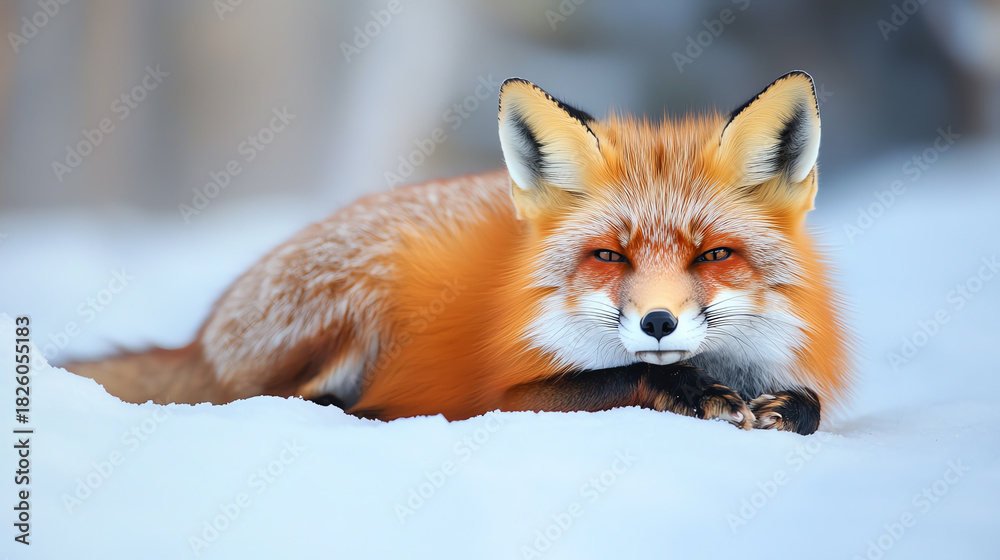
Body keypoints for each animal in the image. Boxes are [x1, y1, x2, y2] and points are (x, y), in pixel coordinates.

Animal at [67, 71, 852, 435]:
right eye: (608, 257)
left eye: (714, 255)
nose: (658, 323)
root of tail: (203, 332)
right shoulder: (506, 396)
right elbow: (620, 376)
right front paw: (690, 391)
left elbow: (810, 405)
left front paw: (782, 407)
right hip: (362, 294)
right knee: (284, 400)